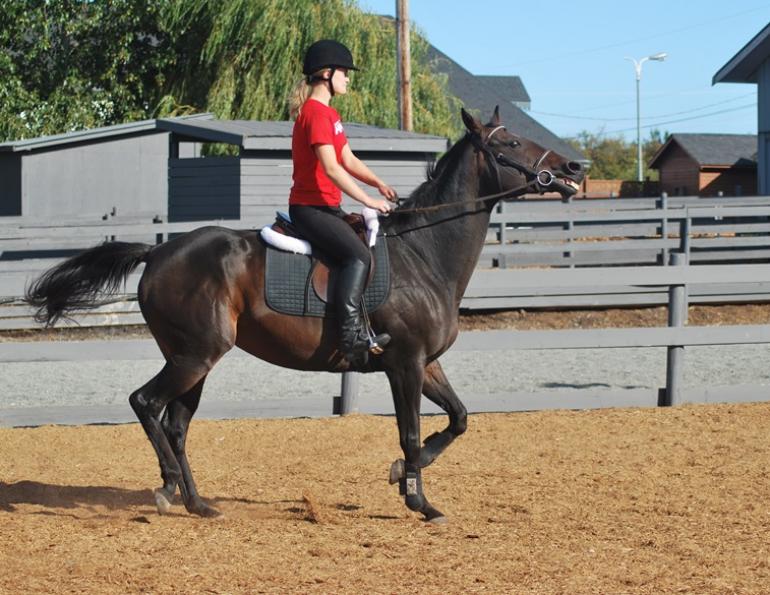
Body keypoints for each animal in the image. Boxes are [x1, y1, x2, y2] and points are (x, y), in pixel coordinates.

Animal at [25, 107, 584, 523]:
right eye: (511, 143)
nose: (575, 170)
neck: (424, 252)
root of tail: (159, 251)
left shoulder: (425, 363)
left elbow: (460, 418)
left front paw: (402, 474)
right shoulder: (404, 363)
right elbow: (408, 430)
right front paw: (418, 498)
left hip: (193, 358)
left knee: (177, 423)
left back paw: (197, 503)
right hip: (196, 354)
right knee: (145, 403)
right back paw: (166, 488)